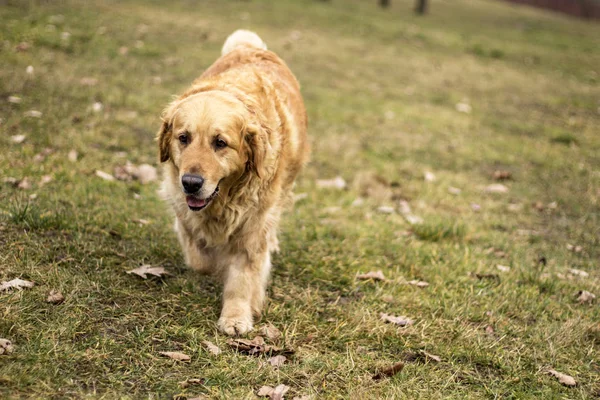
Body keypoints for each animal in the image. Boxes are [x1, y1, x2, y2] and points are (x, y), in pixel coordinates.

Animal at [157, 29, 310, 334]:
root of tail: (250, 46)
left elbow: (242, 276)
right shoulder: (180, 204)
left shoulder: (254, 225)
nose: (191, 182)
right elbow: (198, 256)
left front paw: (237, 316)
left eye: (220, 143)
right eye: (183, 138)